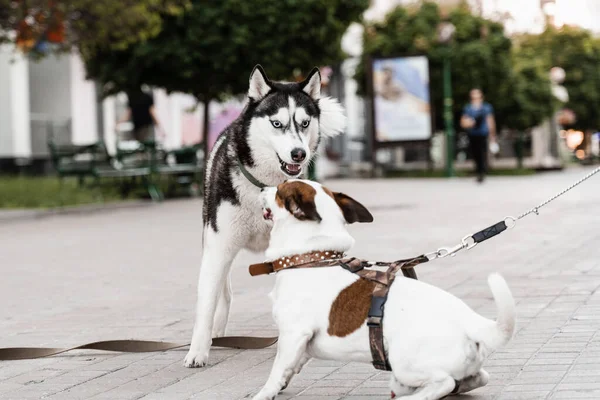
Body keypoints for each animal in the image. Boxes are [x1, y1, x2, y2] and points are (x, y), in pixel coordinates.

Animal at [253, 180, 516, 400]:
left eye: (279, 190)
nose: (261, 188)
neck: (312, 257)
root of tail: (471, 321)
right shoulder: (300, 343)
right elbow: (292, 365)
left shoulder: (293, 334)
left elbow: (276, 370)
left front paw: (265, 393)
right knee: (477, 378)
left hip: (404, 362)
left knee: (445, 383)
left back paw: (412, 397)